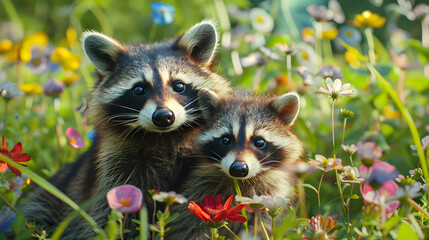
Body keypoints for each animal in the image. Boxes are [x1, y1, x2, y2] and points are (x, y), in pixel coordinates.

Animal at [19, 21, 231, 238]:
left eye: (179, 86)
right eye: (139, 89)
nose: (164, 116)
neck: (162, 136)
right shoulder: (114, 163)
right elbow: (106, 208)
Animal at [167, 89, 304, 239]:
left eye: (259, 142)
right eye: (225, 140)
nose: (238, 169)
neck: (242, 181)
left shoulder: (273, 194)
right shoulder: (198, 189)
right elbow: (186, 225)